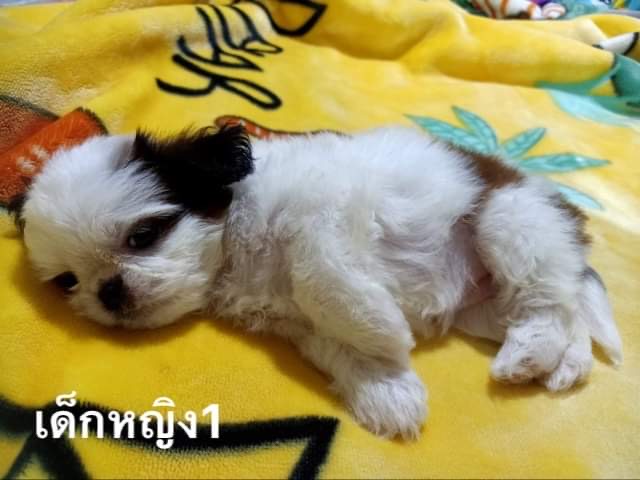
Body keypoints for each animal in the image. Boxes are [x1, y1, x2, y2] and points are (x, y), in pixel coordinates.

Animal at [9, 125, 623, 439]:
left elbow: (319, 277)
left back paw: (530, 354)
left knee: (548, 302)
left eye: (143, 235)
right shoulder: (297, 324)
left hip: (511, 219)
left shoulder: (325, 217)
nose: (109, 291)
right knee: (564, 311)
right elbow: (339, 346)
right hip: (485, 307)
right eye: (68, 281)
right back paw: (557, 363)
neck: (237, 241)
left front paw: (385, 332)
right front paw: (387, 390)